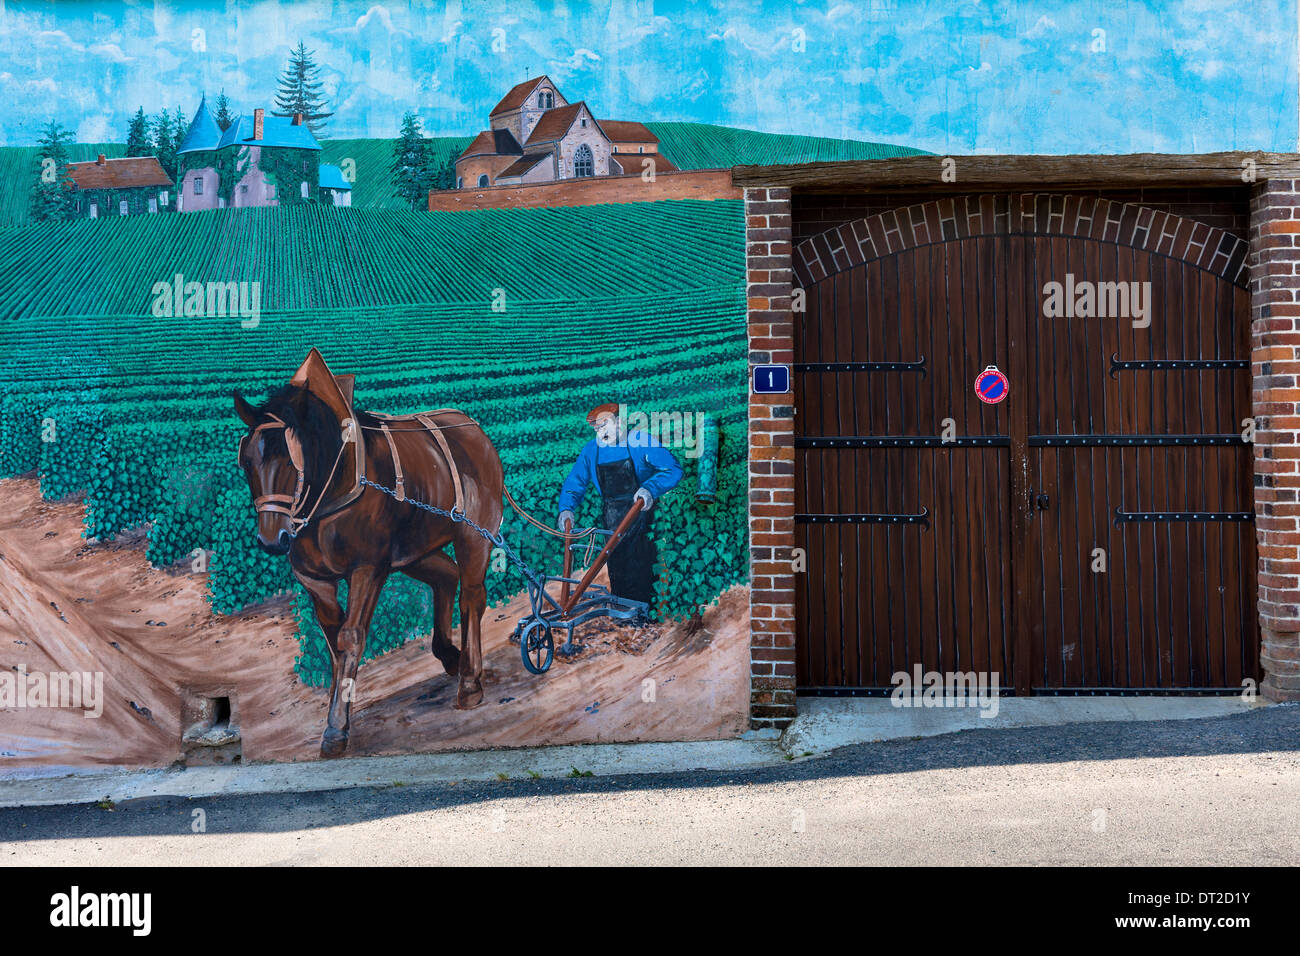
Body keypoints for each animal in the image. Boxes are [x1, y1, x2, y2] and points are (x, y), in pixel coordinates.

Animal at [231, 348, 499, 759]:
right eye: (247, 461)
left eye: (293, 460)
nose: (272, 539)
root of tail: (470, 427)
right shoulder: (315, 580)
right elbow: (333, 642)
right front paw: (336, 711)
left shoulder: (368, 568)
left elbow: (351, 636)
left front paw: (336, 728)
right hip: (415, 550)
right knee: (447, 577)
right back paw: (452, 657)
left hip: (474, 537)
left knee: (471, 595)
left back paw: (470, 681)